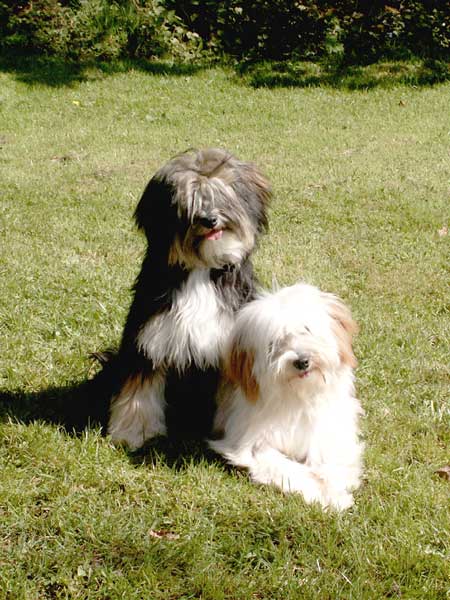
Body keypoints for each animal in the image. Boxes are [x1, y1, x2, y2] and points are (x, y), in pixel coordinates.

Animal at [102, 149, 270, 450]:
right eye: (189, 201)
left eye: (220, 194)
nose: (209, 220)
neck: (201, 269)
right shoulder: (148, 338)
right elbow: (138, 392)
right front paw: (133, 432)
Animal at [209, 284, 364, 508]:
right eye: (274, 344)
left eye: (306, 330)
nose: (302, 361)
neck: (298, 396)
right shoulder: (252, 442)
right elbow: (284, 466)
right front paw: (320, 493)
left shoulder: (330, 427)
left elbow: (331, 456)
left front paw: (335, 490)